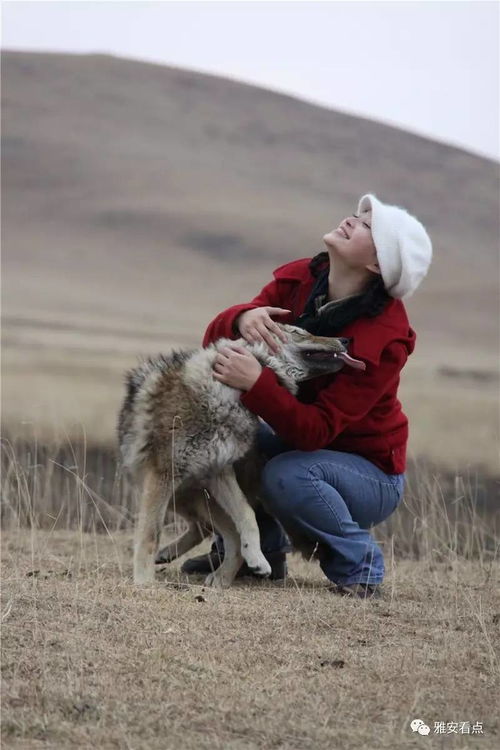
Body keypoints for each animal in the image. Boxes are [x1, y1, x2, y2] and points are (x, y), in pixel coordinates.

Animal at [117, 326, 368, 592]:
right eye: (299, 332)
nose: (345, 340)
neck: (225, 395)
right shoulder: (164, 475)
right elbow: (150, 533)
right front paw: (144, 581)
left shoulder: (218, 471)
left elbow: (247, 516)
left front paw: (257, 560)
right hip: (178, 495)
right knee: (206, 529)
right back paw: (176, 558)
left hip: (196, 497)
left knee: (220, 534)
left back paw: (220, 577)